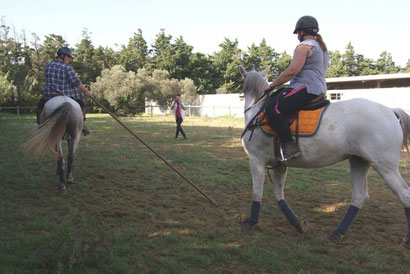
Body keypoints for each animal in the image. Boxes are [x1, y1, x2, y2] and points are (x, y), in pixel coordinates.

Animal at [239, 67, 410, 245]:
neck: (257, 111)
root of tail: (391, 111)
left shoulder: (256, 160)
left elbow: (257, 193)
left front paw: (251, 222)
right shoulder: (280, 165)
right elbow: (279, 195)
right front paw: (297, 223)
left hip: (384, 166)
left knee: (404, 194)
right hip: (359, 162)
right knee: (359, 196)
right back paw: (337, 233)